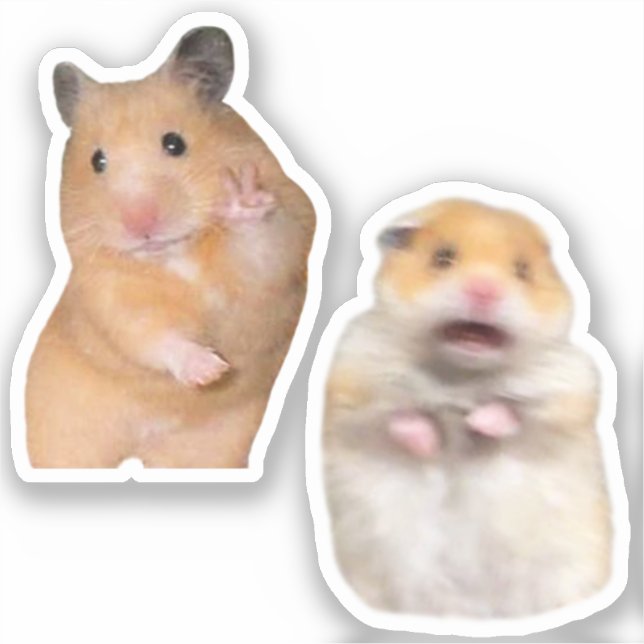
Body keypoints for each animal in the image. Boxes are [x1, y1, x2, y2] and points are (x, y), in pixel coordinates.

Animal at [26, 27, 315, 468]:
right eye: (97, 161)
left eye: (175, 144)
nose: (140, 225)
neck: (175, 254)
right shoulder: (108, 295)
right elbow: (151, 335)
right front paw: (209, 371)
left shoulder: (282, 251)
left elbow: (260, 249)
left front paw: (242, 199)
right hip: (60, 431)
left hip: (206, 452)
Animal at [323, 199, 611, 617]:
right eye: (443, 258)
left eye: (522, 271)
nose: (484, 291)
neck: (462, 372)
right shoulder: (352, 383)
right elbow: (399, 415)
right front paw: (431, 444)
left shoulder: (569, 392)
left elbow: (513, 413)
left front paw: (476, 424)